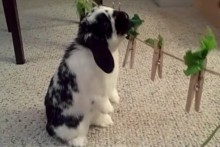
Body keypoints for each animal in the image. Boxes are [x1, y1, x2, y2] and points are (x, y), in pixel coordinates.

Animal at [44, 5, 131, 147]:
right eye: (105, 25)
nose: (126, 16)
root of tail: (50, 126)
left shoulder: (110, 87)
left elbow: (112, 93)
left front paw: (116, 100)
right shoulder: (97, 93)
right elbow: (102, 100)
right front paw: (111, 108)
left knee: (96, 119)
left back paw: (107, 121)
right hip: (74, 127)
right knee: (71, 137)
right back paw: (81, 141)